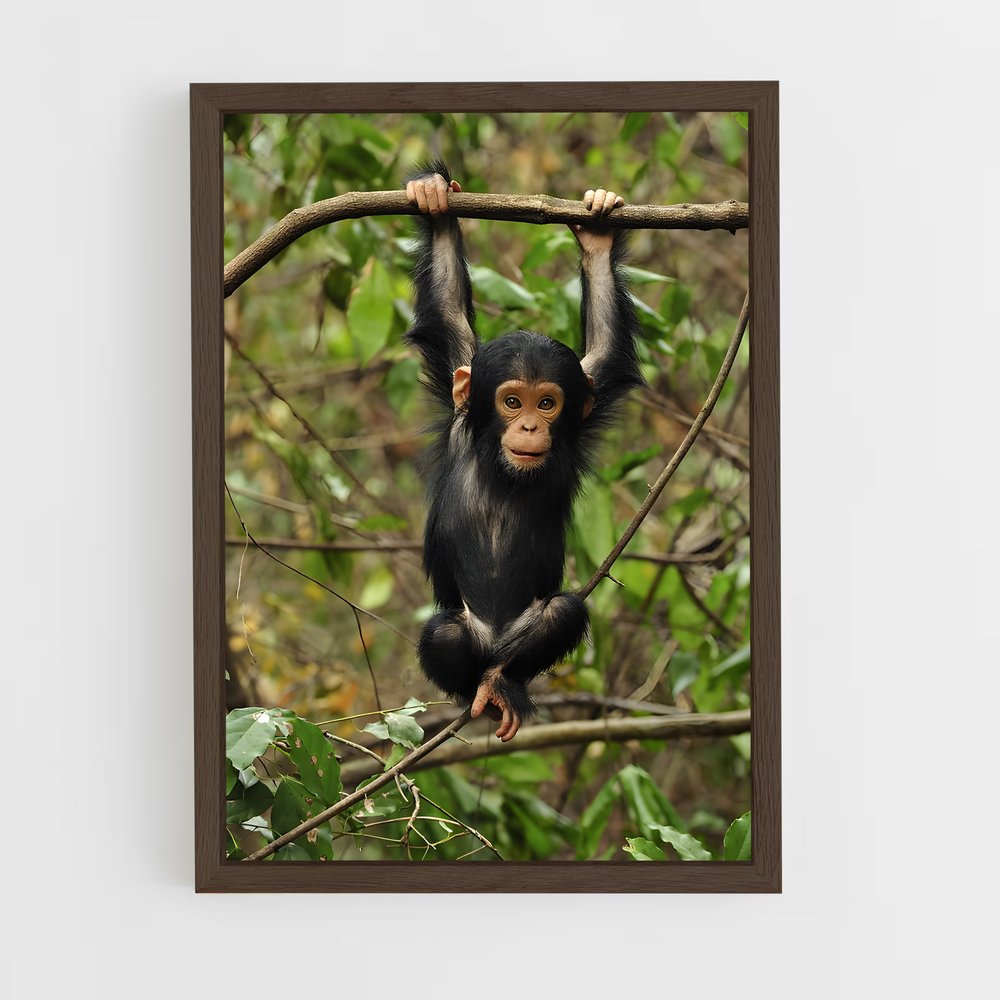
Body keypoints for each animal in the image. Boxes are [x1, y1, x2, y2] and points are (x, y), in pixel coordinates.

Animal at [403, 161, 642, 741]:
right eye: (512, 401)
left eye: (548, 403)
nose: (531, 424)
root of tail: (493, 647)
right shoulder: (460, 387)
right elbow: (446, 311)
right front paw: (434, 201)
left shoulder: (583, 400)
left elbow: (606, 347)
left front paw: (598, 236)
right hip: (466, 637)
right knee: (445, 635)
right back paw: (480, 692)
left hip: (523, 639)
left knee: (561, 615)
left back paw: (502, 684)